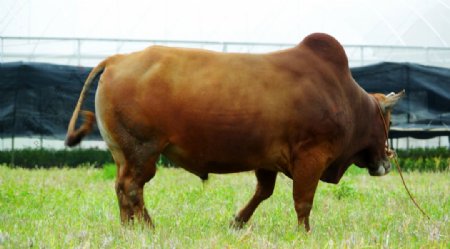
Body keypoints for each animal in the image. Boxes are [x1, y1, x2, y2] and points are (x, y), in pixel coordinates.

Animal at [66, 33, 404, 231]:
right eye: (387, 121)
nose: (387, 161)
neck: (345, 96)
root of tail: (118, 59)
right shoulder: (312, 156)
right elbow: (303, 201)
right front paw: (304, 232)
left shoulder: (268, 161)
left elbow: (263, 192)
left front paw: (238, 221)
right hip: (143, 150)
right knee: (132, 187)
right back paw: (147, 227)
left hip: (123, 153)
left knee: (122, 188)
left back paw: (129, 228)